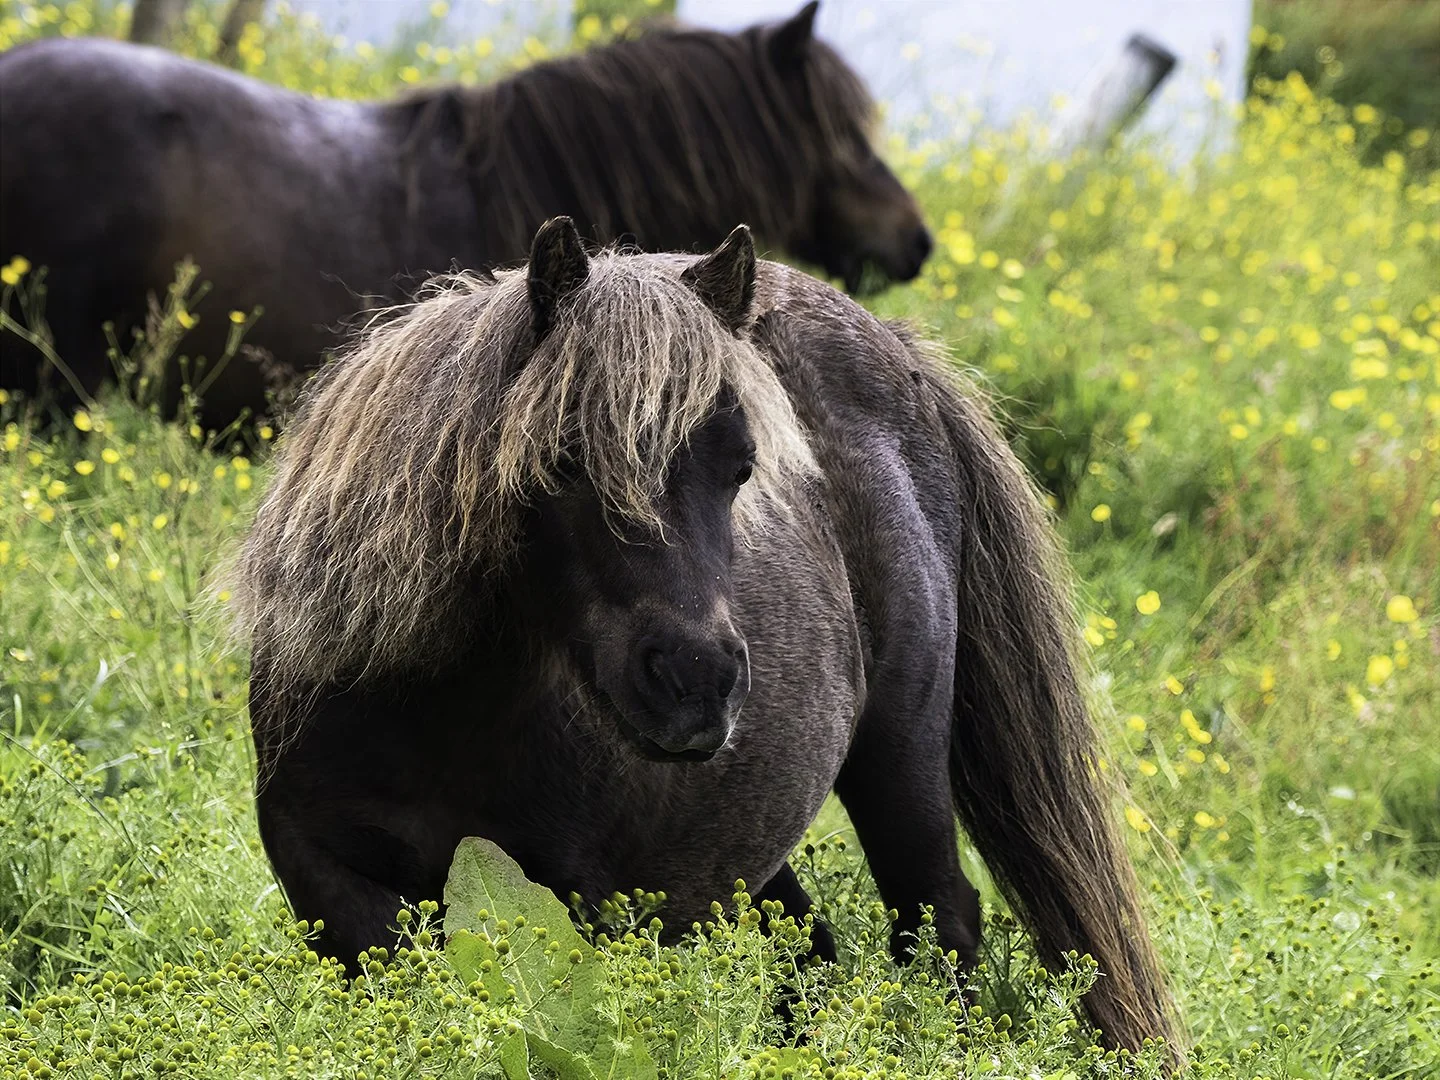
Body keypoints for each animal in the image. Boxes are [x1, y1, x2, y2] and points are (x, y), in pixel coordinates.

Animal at [226, 217, 1175, 1054]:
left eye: (743, 466)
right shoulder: (330, 887)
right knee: (809, 948)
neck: (433, 710)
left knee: (940, 923)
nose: (697, 684)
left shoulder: (572, 901)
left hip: (900, 758)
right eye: (563, 460)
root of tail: (899, 354)